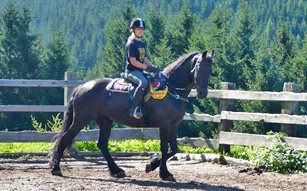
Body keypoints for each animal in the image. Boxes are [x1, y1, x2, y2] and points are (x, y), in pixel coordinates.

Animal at [49, 49, 215, 181]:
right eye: (199, 68)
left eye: (210, 70)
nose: (202, 93)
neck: (171, 90)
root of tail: (81, 87)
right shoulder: (164, 125)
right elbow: (164, 149)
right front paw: (161, 172)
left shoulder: (174, 126)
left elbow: (173, 149)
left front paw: (154, 166)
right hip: (81, 119)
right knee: (65, 138)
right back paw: (56, 168)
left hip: (105, 121)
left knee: (102, 144)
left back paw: (116, 171)